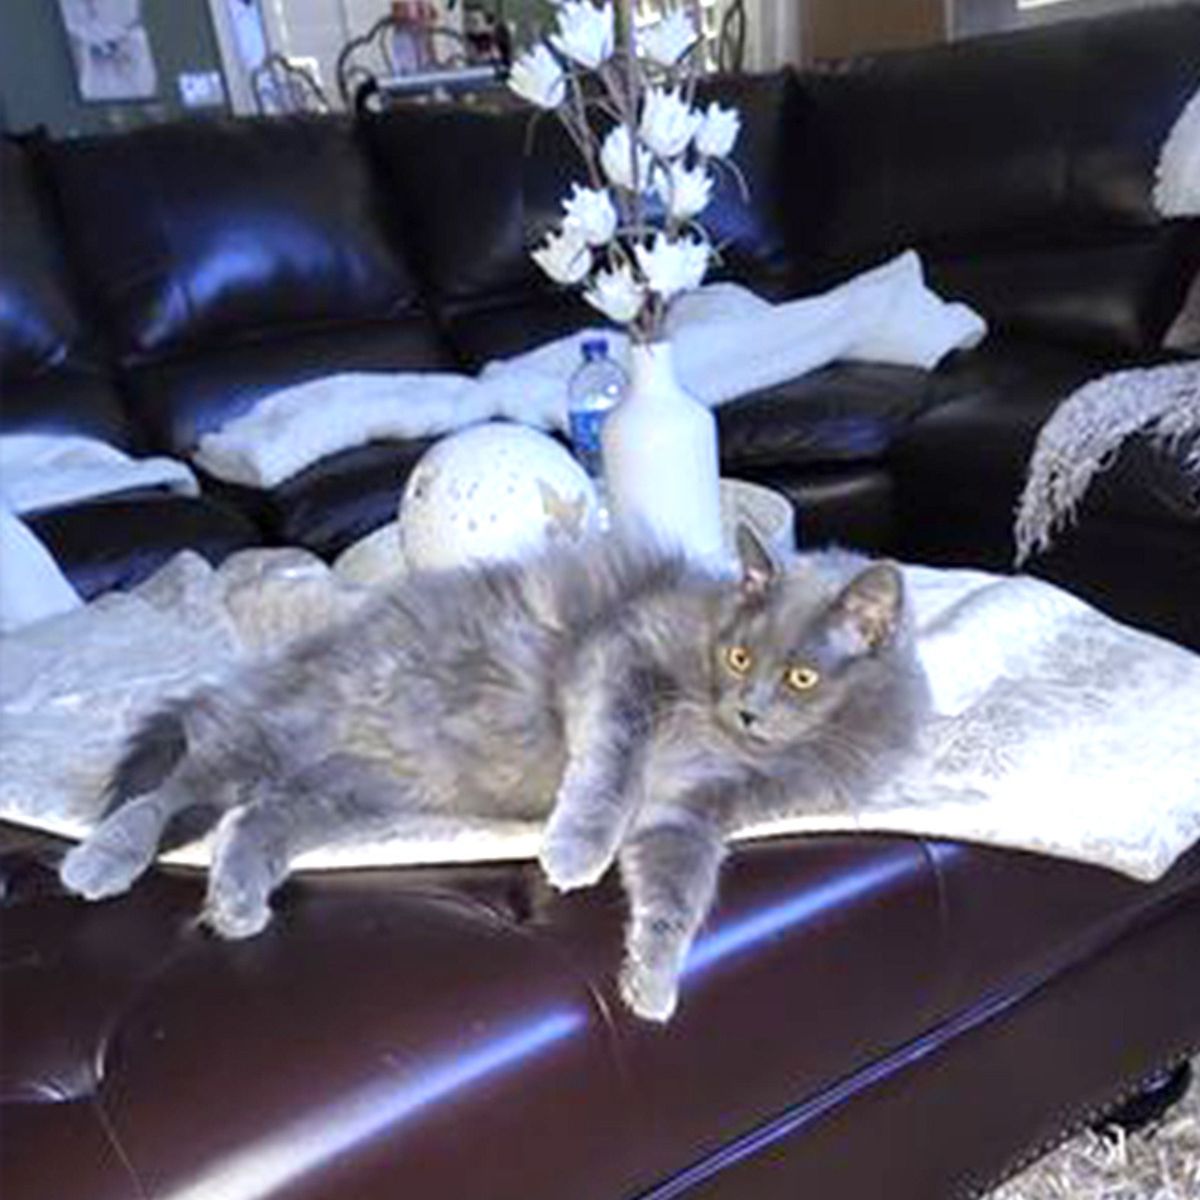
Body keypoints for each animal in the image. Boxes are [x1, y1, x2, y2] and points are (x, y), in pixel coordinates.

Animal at [60, 532, 926, 1022]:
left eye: (802, 677)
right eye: (740, 657)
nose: (747, 710)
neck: (734, 748)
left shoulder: (691, 813)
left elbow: (677, 891)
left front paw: (650, 981)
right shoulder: (621, 654)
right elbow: (610, 763)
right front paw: (574, 851)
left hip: (349, 793)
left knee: (251, 818)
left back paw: (236, 903)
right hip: (283, 729)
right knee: (174, 786)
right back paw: (100, 861)